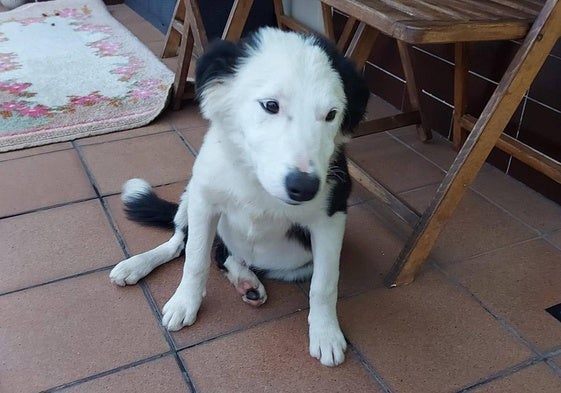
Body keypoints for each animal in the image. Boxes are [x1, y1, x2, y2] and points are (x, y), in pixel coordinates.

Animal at [110, 26, 370, 364]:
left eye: (331, 114)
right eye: (270, 105)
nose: (304, 187)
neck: (255, 177)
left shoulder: (331, 218)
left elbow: (325, 283)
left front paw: (325, 333)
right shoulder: (204, 200)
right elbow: (194, 259)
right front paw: (185, 302)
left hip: (298, 260)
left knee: (224, 254)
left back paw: (247, 281)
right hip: (189, 196)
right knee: (180, 242)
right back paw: (138, 265)